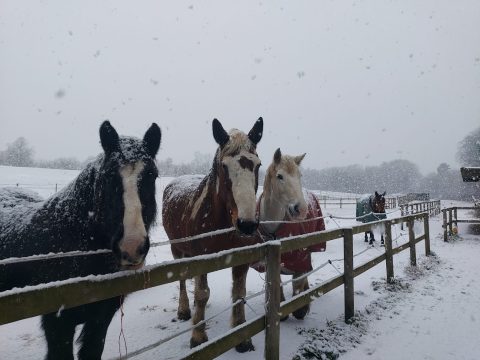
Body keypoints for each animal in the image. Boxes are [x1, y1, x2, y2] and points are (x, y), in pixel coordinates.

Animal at [163, 117, 264, 352]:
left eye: (258, 165)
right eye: (224, 166)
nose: (247, 224)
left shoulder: (241, 260)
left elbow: (239, 293)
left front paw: (242, 338)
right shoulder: (202, 260)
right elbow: (202, 293)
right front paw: (198, 337)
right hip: (176, 248)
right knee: (183, 280)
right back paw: (184, 310)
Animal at [251, 149, 326, 320]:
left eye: (300, 175)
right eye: (280, 176)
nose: (302, 209)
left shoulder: (300, 257)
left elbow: (298, 283)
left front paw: (301, 308)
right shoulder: (269, 261)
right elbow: (275, 282)